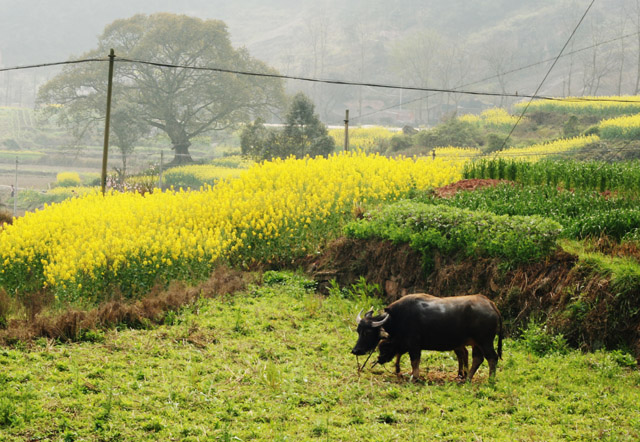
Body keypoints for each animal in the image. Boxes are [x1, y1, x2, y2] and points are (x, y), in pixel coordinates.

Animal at [352, 292, 502, 382]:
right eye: (358, 331)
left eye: (367, 332)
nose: (355, 351)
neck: (397, 318)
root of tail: (490, 304)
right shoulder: (404, 343)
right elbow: (401, 355)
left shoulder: (413, 345)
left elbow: (414, 361)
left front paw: (415, 377)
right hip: (476, 344)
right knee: (477, 359)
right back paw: (467, 379)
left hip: (485, 342)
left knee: (492, 358)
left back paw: (490, 380)